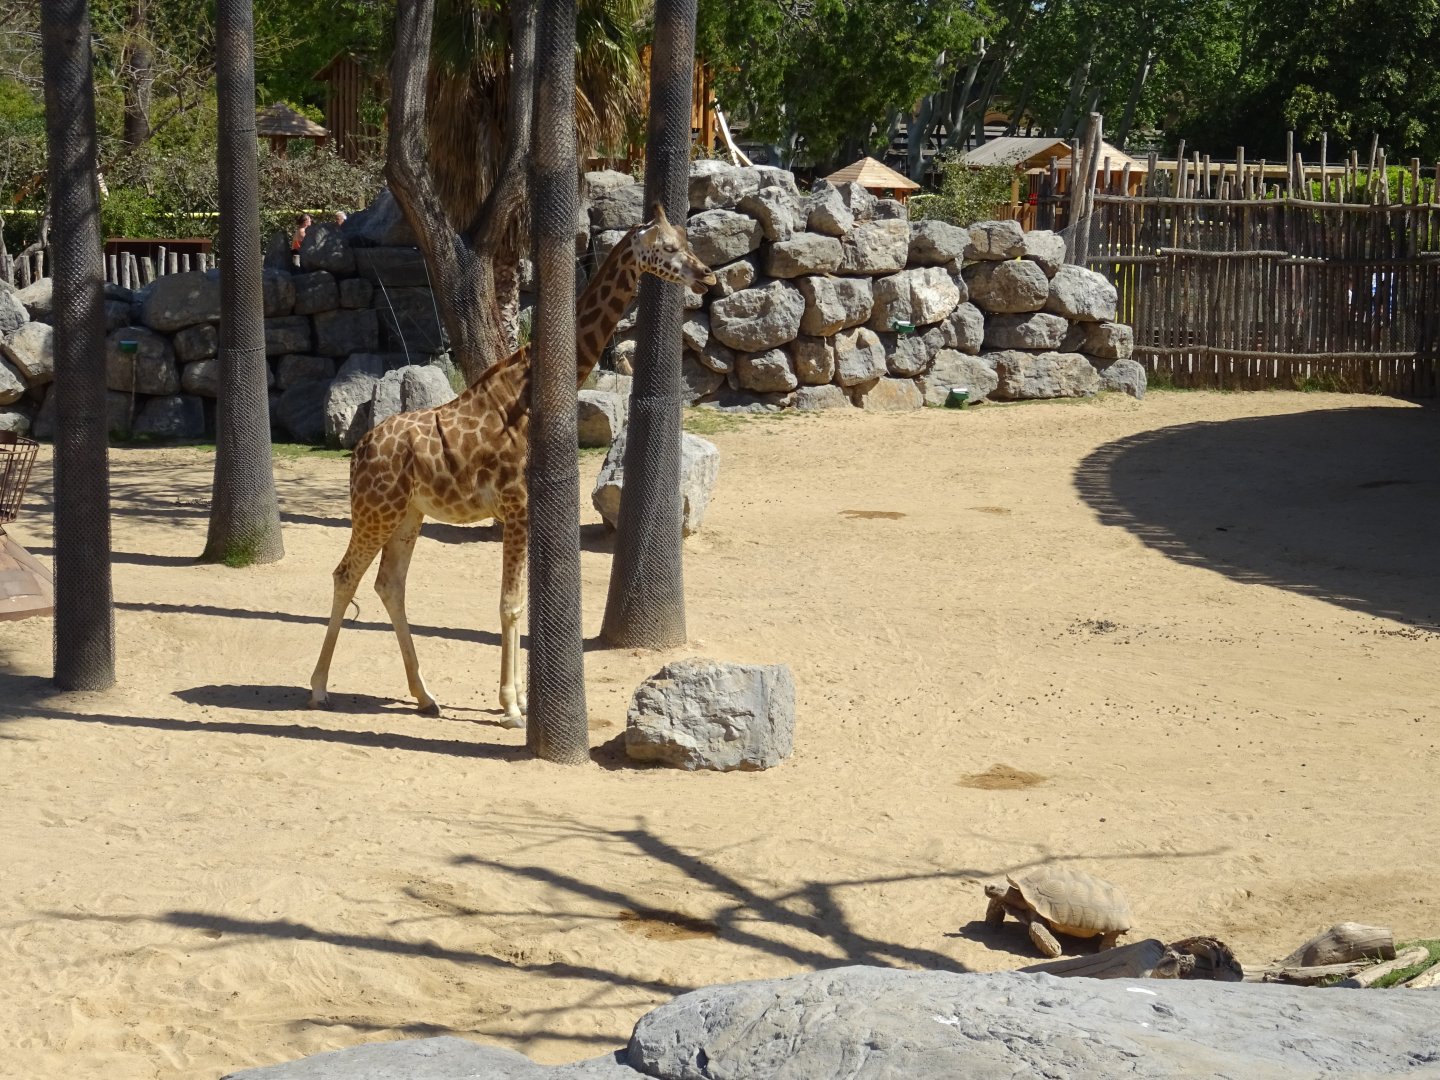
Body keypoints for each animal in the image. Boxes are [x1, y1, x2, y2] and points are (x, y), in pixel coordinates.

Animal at [307, 205, 715, 725]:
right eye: (665, 247)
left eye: (687, 238)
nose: (706, 275)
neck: (526, 392)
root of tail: (358, 452)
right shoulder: (516, 505)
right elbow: (509, 605)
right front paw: (512, 708)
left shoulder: (526, 510)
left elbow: (522, 602)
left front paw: (517, 698)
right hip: (375, 510)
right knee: (346, 575)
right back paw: (319, 688)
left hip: (408, 514)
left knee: (389, 584)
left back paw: (425, 696)